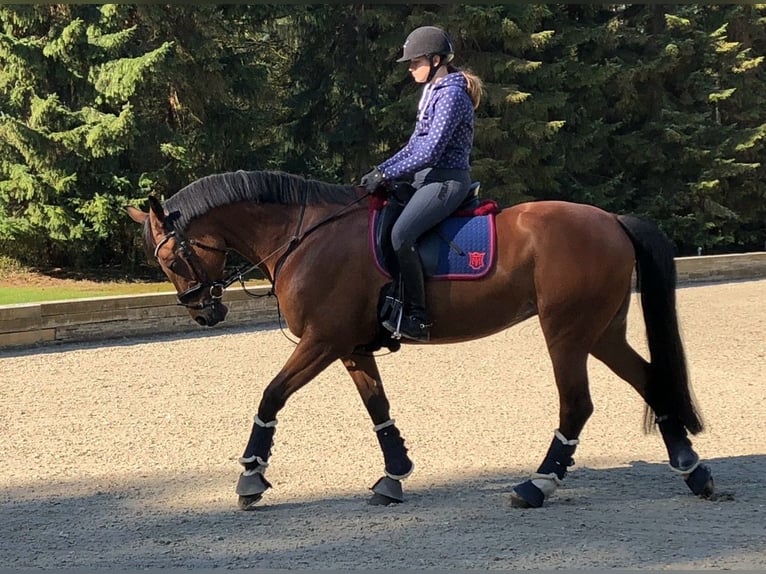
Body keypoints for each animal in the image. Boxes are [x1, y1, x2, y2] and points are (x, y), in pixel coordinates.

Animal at [126, 170, 712, 512]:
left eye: (171, 257)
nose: (205, 312)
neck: (305, 236)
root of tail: (610, 219)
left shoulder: (321, 340)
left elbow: (271, 395)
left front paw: (251, 476)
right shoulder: (350, 347)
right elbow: (378, 408)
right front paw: (394, 474)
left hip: (566, 332)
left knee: (577, 405)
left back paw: (538, 485)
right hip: (600, 331)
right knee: (651, 379)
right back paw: (691, 468)